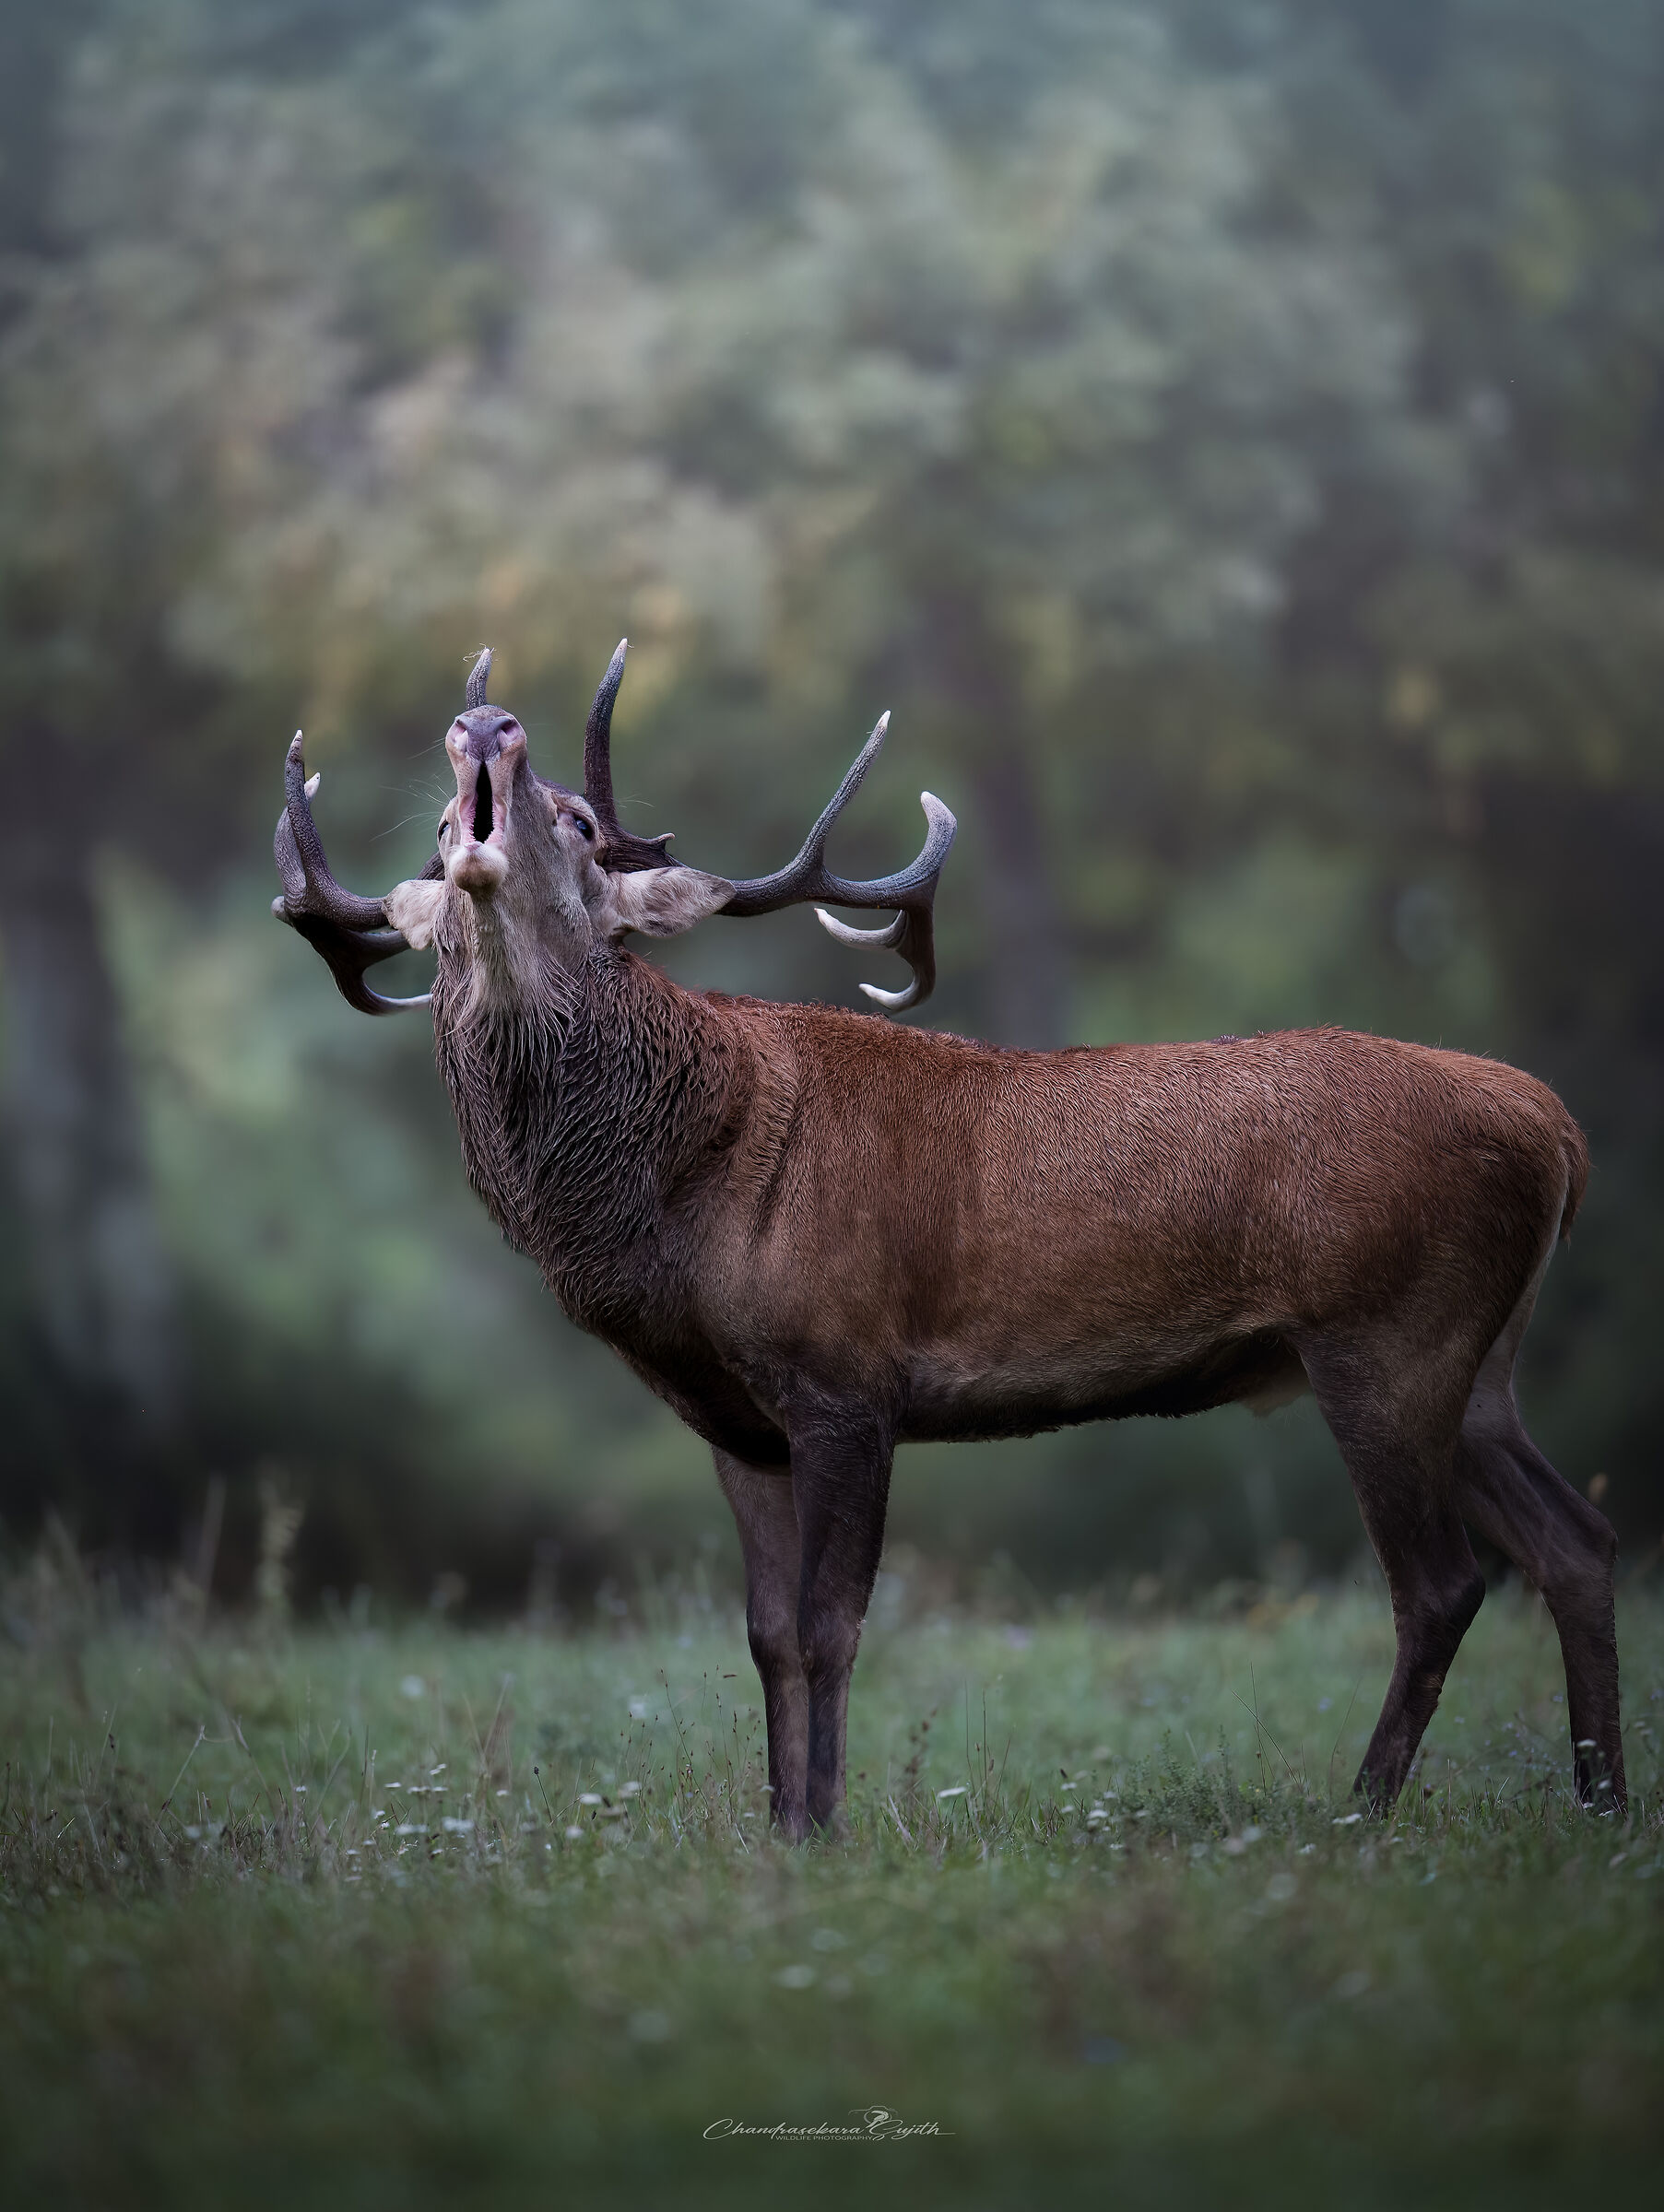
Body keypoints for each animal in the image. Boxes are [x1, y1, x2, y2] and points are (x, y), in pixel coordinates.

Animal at [274, 641, 1625, 1838]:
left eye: (576, 823)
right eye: (435, 841)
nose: (485, 723)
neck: (678, 1207)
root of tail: (1556, 1129)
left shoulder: (845, 1373)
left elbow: (831, 1625)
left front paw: (826, 1828)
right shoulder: (738, 1424)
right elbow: (766, 1636)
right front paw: (778, 1829)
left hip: (1384, 1333)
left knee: (1441, 1583)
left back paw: (1364, 1812)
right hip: (1473, 1362)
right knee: (1576, 1539)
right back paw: (1601, 1804)